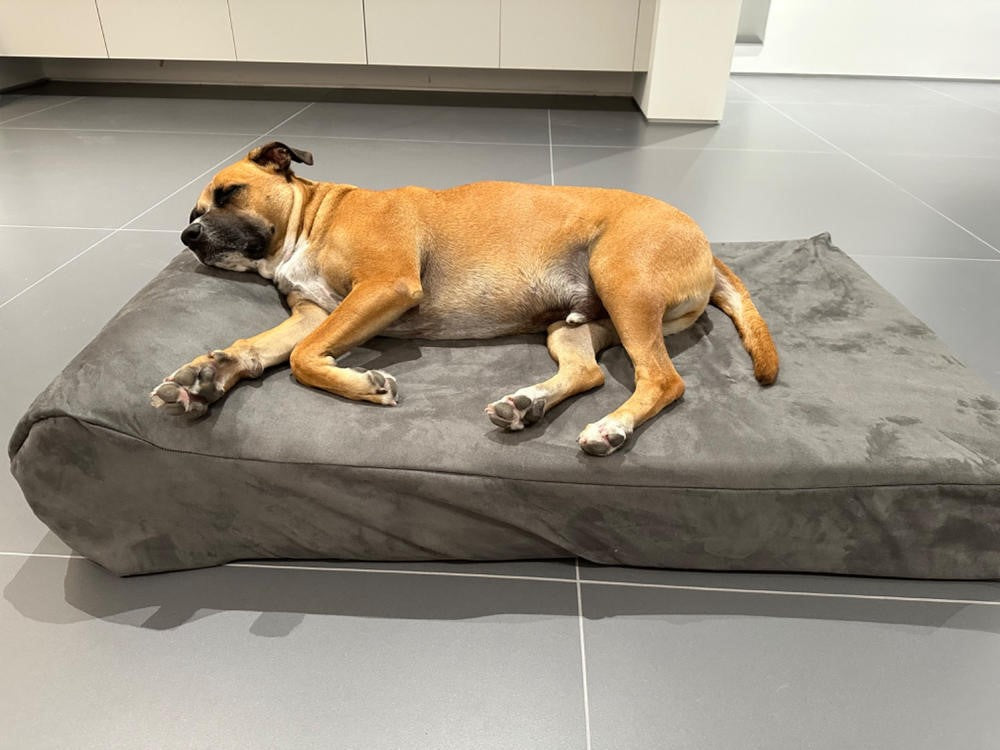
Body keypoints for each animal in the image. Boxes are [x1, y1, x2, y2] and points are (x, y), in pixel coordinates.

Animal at [150, 141, 778, 456]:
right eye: (193, 213)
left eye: (230, 192)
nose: (187, 237)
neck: (311, 220)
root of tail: (704, 242)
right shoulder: (315, 314)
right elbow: (258, 347)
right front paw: (207, 375)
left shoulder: (383, 287)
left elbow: (305, 360)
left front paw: (364, 384)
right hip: (573, 324)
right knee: (590, 372)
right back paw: (527, 404)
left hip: (624, 283)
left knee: (663, 380)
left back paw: (611, 429)